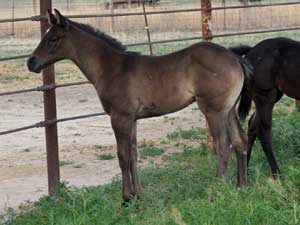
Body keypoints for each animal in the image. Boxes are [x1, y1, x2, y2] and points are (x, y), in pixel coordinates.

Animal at [232, 37, 300, 176]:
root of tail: (251, 50)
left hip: (271, 95)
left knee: (253, 124)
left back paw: (245, 171)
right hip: (265, 95)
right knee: (264, 130)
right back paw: (277, 174)